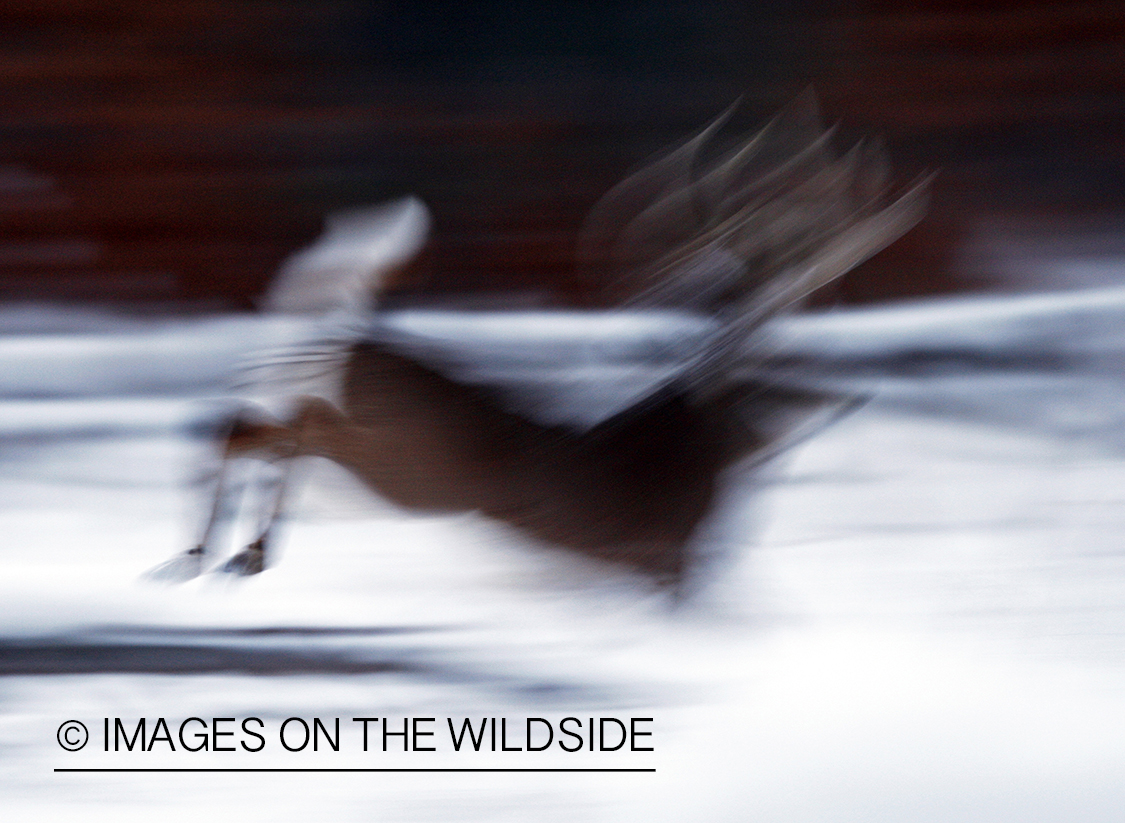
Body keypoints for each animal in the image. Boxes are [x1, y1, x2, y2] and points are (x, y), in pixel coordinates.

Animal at [145, 95, 927, 584]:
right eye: (777, 374)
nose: (850, 397)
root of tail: (346, 331)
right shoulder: (653, 557)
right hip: (391, 455)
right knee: (274, 428)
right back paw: (221, 550)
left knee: (245, 423)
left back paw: (225, 552)